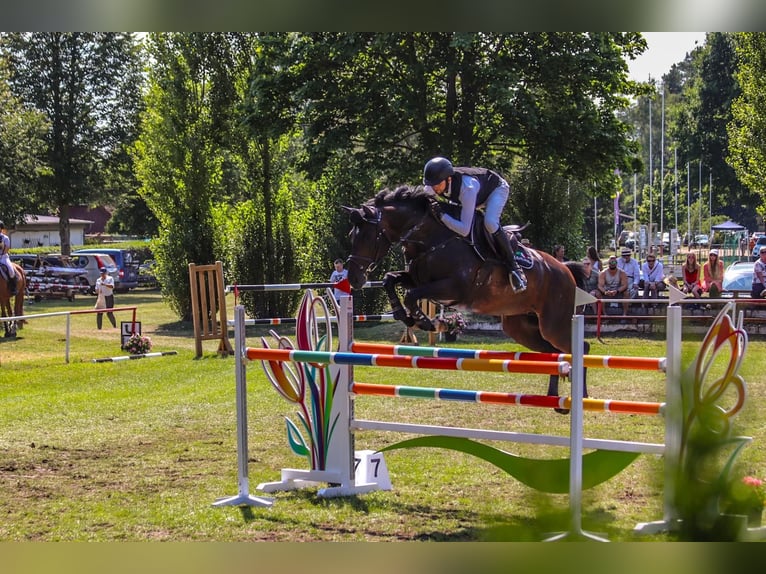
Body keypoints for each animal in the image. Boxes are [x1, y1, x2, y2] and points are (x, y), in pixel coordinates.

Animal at [344, 186, 592, 404]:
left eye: (366, 237)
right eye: (351, 236)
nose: (353, 278)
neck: (432, 239)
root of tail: (565, 269)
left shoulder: (454, 288)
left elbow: (412, 295)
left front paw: (425, 322)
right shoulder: (417, 278)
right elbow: (390, 279)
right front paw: (402, 314)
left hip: (553, 324)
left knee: (581, 348)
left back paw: (582, 396)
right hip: (522, 327)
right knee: (553, 352)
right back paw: (555, 397)